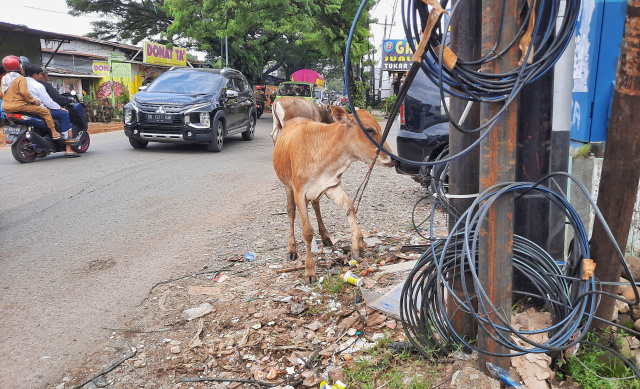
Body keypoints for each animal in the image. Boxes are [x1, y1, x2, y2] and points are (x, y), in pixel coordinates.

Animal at [272, 106, 392, 282]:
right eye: (369, 130)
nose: (392, 159)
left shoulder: (331, 185)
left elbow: (349, 206)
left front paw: (357, 245)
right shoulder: (299, 192)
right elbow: (307, 231)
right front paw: (309, 270)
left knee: (316, 205)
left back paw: (325, 236)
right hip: (288, 186)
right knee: (291, 213)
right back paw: (292, 249)